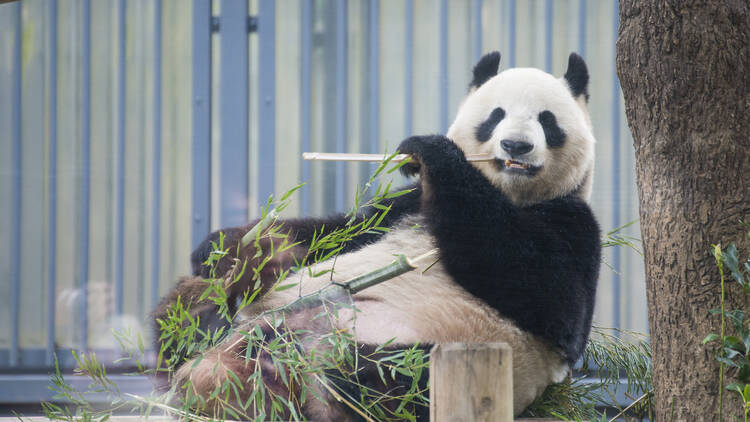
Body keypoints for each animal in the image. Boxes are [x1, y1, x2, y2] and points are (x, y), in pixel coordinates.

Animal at [152, 51, 601, 420]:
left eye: (546, 120)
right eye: (495, 115)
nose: (516, 146)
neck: (508, 193)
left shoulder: (573, 224)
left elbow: (539, 285)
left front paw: (430, 149)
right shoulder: (402, 206)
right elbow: (331, 231)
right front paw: (226, 247)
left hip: (426, 346)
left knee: (379, 380)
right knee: (184, 323)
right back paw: (206, 320)